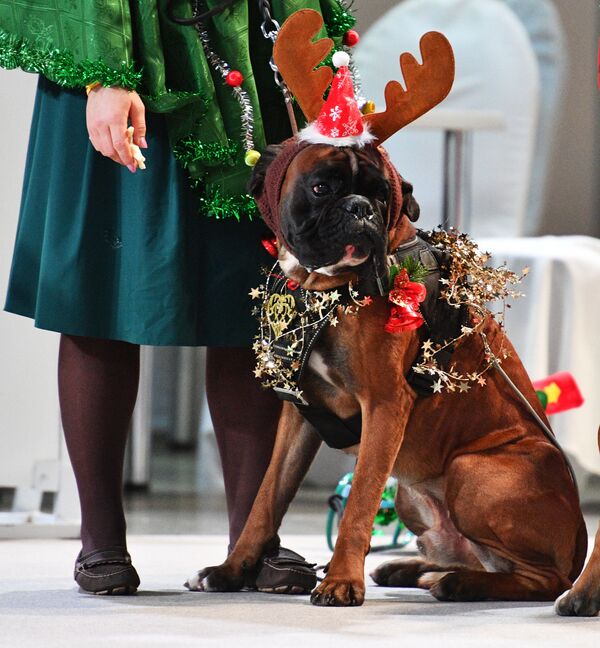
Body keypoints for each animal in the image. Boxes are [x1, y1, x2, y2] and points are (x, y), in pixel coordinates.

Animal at [186, 10, 584, 608]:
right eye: (322, 187)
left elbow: (359, 504)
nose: (360, 209)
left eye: (382, 194)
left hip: (474, 470)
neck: (325, 289)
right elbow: (265, 499)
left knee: (542, 581)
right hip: (420, 497)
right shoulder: (298, 419)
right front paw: (232, 570)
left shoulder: (384, 407)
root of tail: (581, 540)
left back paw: (455, 582)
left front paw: (340, 580)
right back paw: (413, 568)